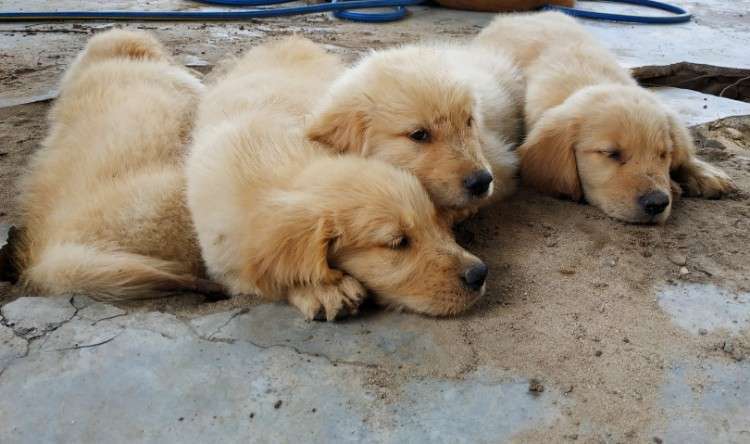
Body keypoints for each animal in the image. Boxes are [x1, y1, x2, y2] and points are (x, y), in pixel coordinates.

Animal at [187, 37, 488, 320]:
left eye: (469, 121)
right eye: (398, 243)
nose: (479, 273)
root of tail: (287, 39)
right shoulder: (225, 259)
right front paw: (323, 289)